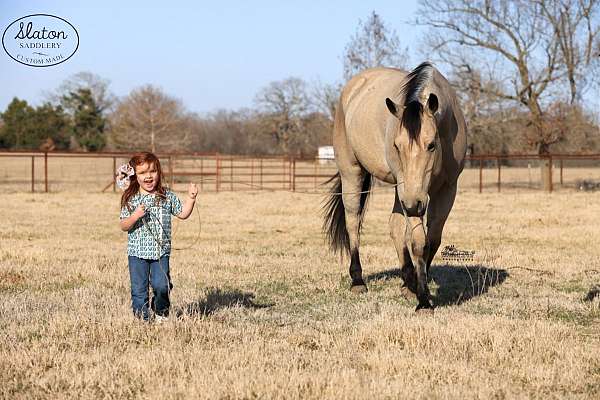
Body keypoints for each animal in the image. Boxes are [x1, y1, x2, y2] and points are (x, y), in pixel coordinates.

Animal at [324, 63, 468, 312]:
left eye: (431, 145)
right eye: (396, 146)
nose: (412, 205)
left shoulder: (446, 190)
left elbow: (433, 240)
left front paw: (419, 286)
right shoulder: (411, 195)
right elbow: (419, 242)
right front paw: (423, 301)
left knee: (395, 227)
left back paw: (407, 281)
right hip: (353, 173)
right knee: (353, 222)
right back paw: (358, 280)